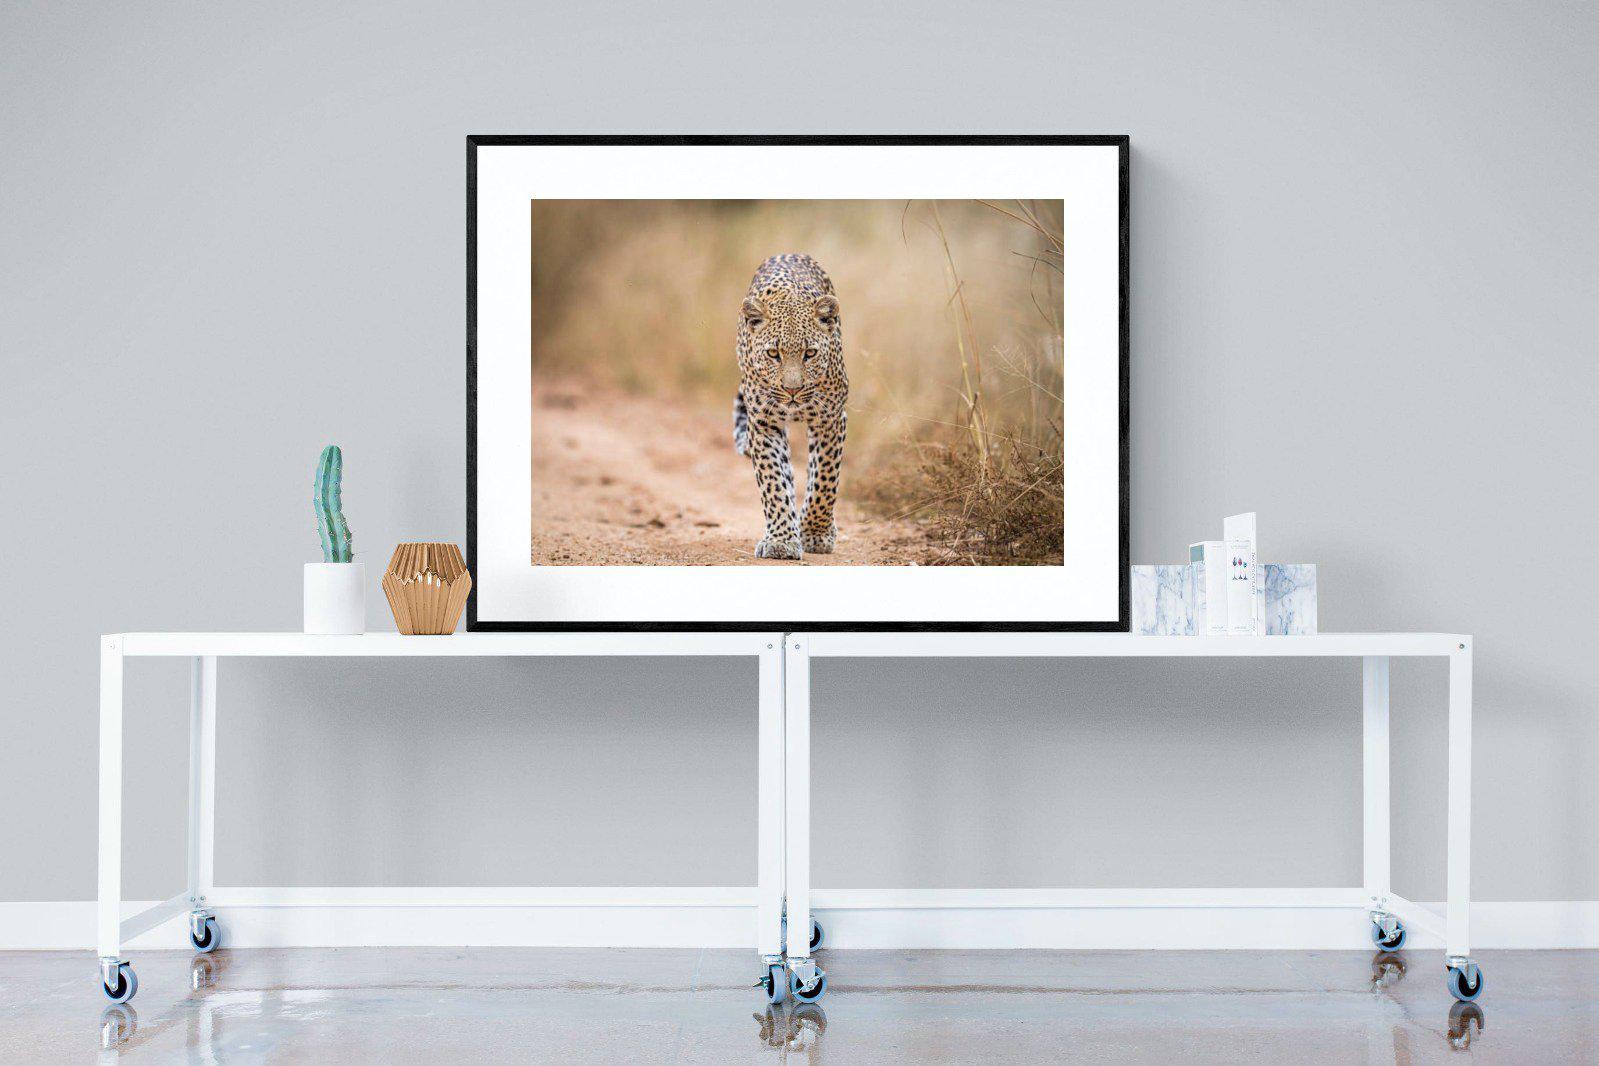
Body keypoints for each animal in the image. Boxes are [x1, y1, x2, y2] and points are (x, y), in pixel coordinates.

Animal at [732, 253, 848, 560]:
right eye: (774, 353)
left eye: (810, 353)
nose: (792, 390)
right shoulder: (763, 423)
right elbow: (773, 481)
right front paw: (781, 540)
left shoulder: (831, 419)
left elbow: (824, 480)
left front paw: (816, 533)